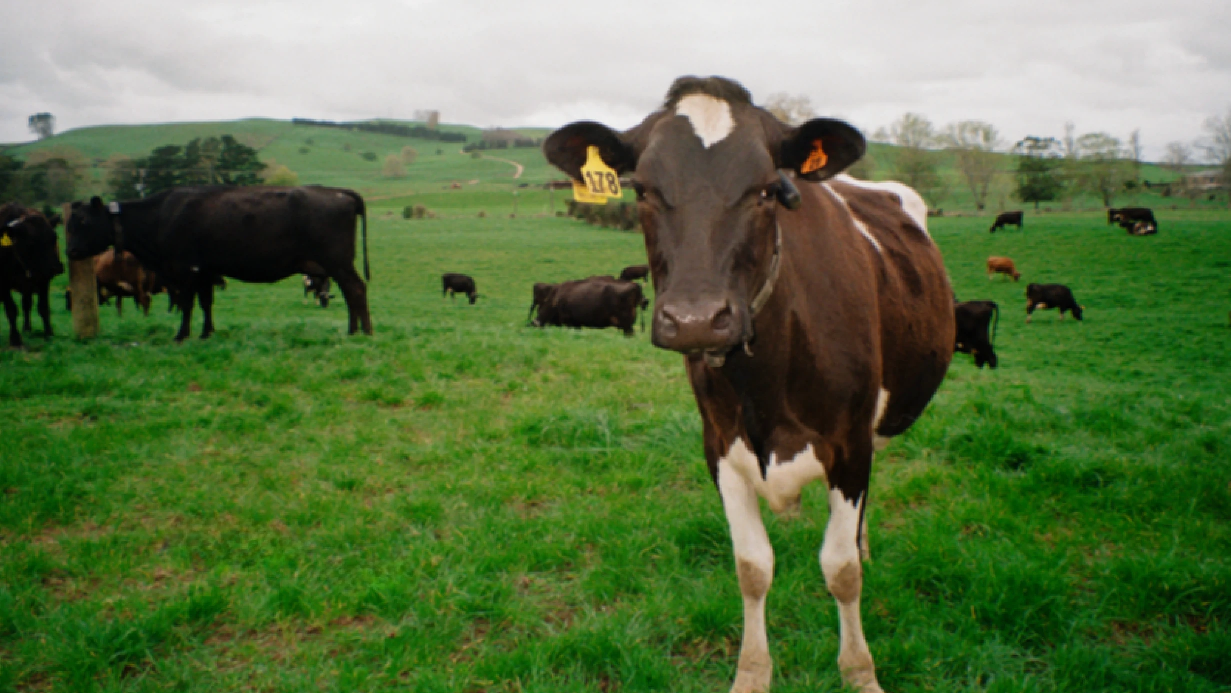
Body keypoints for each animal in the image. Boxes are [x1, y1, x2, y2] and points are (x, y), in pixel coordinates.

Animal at [0, 204, 65, 346]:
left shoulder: (43, 280)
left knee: (27, 304)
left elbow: (43, 308)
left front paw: (49, 334)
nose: (55, 268)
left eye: (54, 238)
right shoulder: (3, 285)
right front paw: (15, 340)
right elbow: (11, 310)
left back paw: (27, 328)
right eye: (31, 243)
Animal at [65, 186, 371, 341]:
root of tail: (339, 193)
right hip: (335, 265)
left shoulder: (185, 270)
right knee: (349, 292)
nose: (70, 251)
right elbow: (206, 303)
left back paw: (364, 332)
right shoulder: (205, 271)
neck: (161, 215)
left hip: (338, 262)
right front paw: (206, 332)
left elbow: (188, 304)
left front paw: (182, 334)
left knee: (356, 289)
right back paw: (353, 329)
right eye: (67, 223)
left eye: (83, 221)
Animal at [544, 76, 954, 693]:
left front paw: (860, 672)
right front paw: (752, 674)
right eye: (643, 191)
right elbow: (752, 567)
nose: (694, 319)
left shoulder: (850, 443)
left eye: (765, 191)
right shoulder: (719, 446)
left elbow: (841, 570)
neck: (766, 387)